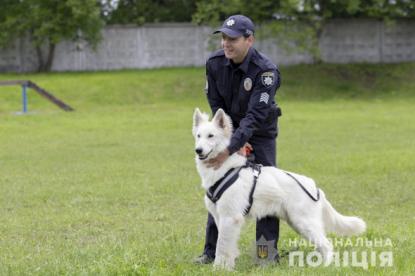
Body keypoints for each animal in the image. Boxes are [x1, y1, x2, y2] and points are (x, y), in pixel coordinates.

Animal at [193, 107, 368, 270]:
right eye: (198, 136)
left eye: (211, 136)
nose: (198, 150)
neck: (224, 169)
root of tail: (315, 187)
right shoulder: (220, 217)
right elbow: (225, 246)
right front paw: (226, 265)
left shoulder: (230, 217)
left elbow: (222, 247)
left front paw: (219, 268)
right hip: (298, 224)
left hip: (304, 223)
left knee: (326, 244)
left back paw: (326, 267)